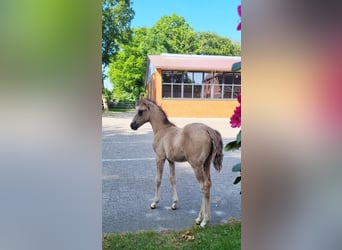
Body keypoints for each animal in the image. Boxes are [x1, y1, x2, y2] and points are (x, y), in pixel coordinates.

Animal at [130, 97, 223, 229]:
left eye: (140, 111)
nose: (132, 125)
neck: (162, 130)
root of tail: (208, 129)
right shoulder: (171, 160)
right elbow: (172, 179)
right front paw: (174, 204)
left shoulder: (160, 158)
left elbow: (158, 179)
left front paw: (154, 203)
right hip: (206, 164)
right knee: (208, 185)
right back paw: (200, 218)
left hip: (196, 165)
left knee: (204, 186)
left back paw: (204, 220)